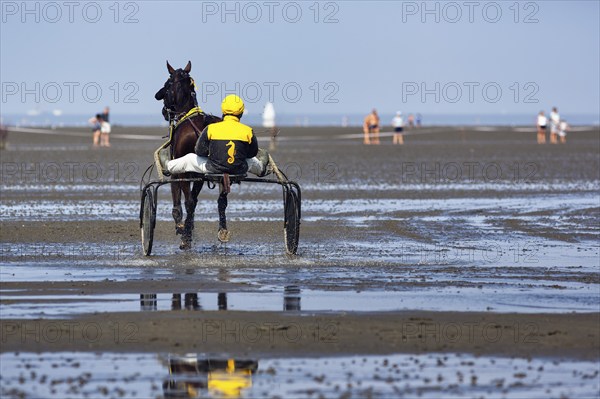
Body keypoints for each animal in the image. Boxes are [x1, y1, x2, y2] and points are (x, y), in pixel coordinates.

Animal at [155, 60, 220, 250]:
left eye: (167, 83)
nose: (157, 95)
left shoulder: (176, 173)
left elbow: (178, 206)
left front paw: (181, 227)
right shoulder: (199, 175)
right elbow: (194, 201)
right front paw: (189, 230)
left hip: (183, 172)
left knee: (188, 202)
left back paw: (184, 235)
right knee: (193, 202)